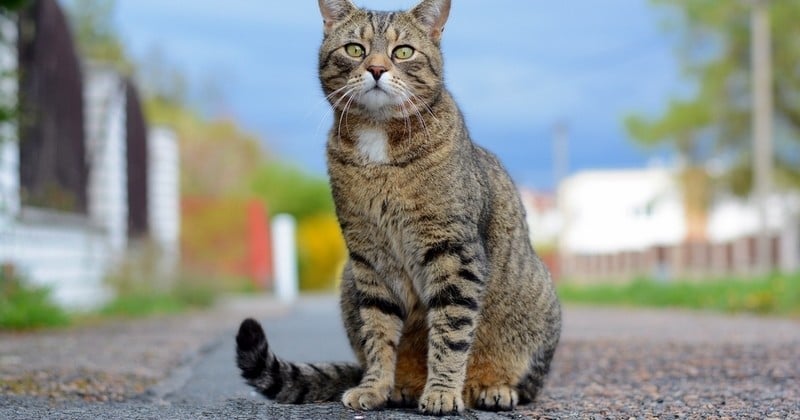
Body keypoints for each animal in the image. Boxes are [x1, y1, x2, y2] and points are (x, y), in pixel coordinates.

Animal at [236, 0, 564, 414]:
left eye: (403, 52)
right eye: (355, 49)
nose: (376, 68)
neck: (378, 142)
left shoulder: (453, 252)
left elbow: (451, 331)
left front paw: (442, 392)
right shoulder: (369, 257)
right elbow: (378, 333)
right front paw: (375, 387)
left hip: (535, 304)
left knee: (523, 382)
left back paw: (491, 389)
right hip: (349, 280)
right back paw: (401, 387)